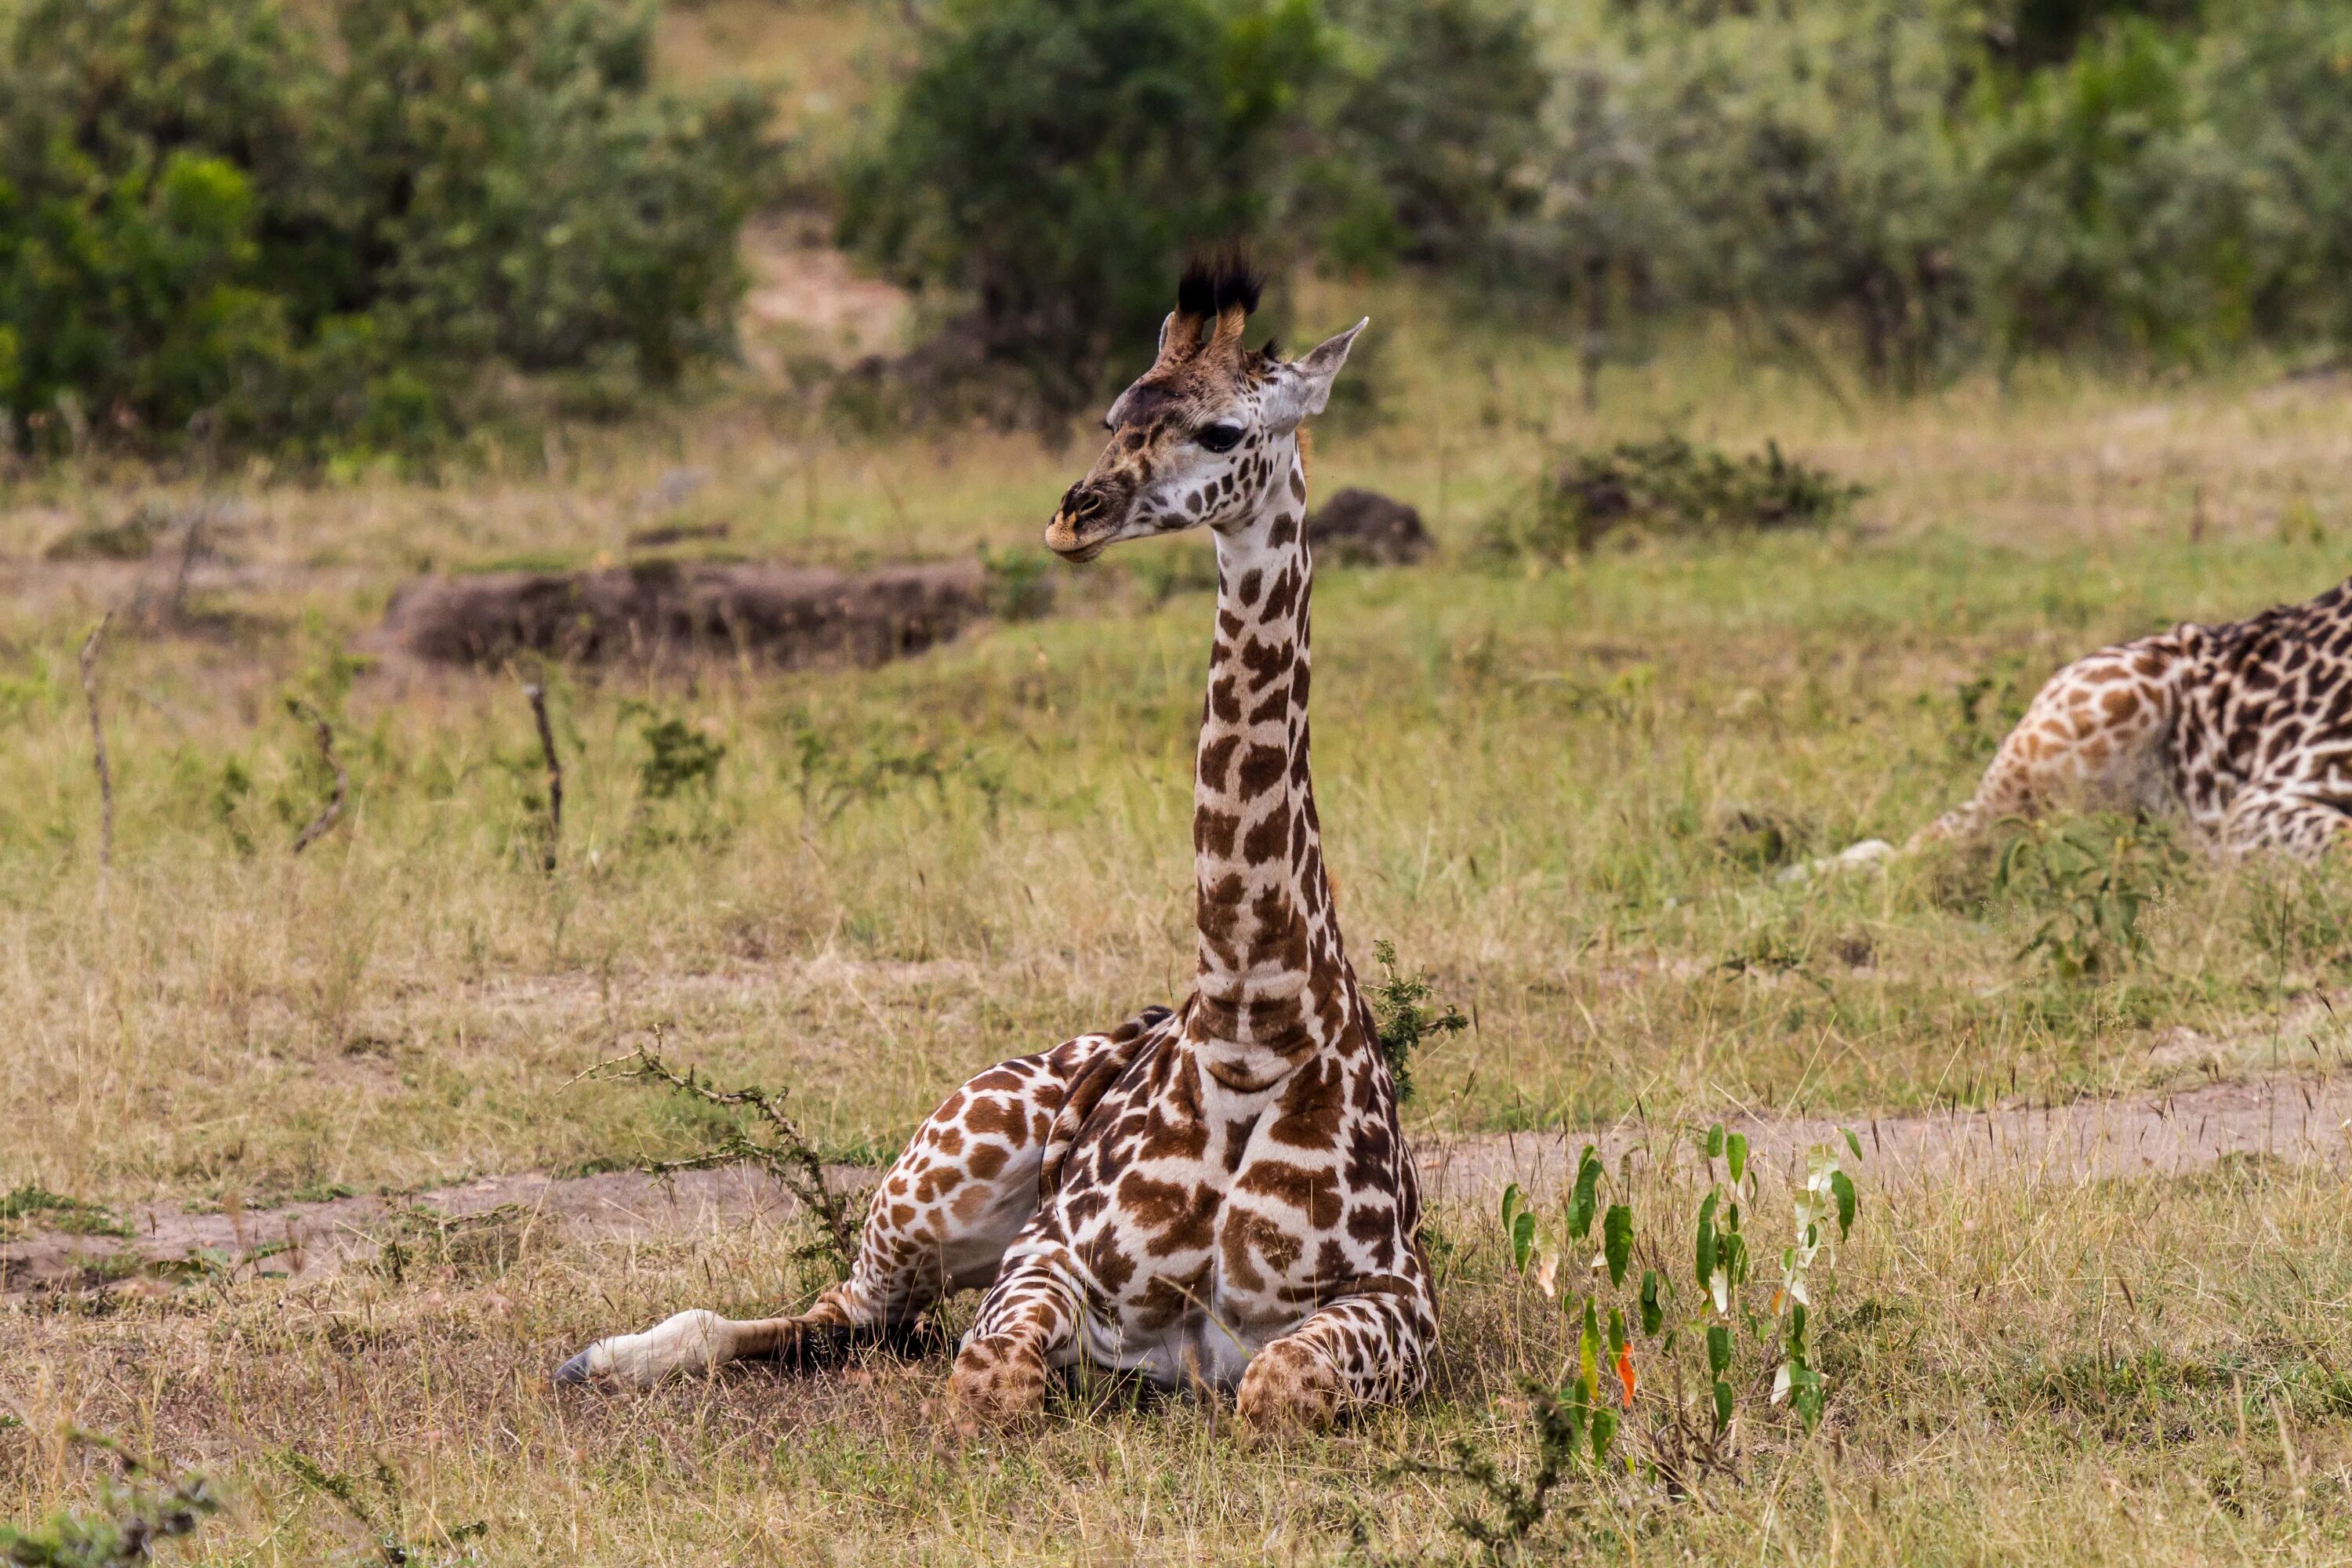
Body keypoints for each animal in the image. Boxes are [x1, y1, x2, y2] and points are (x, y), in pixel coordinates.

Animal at [560, 257, 1430, 1439]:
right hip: (935, 1186)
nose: (1074, 515)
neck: (1252, 1029)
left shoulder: (1399, 1297)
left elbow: (1274, 1386)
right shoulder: (1045, 1257)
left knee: (862, 1326)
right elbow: (993, 1383)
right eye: (1113, 415)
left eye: (1220, 431)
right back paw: (598, 1360)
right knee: (844, 1308)